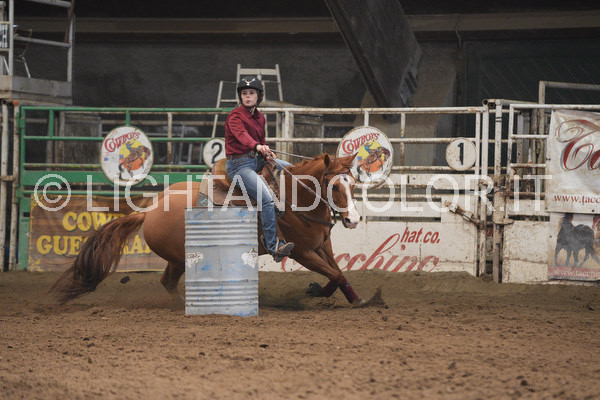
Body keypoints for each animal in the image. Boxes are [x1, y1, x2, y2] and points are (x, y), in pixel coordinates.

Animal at [49, 153, 365, 306]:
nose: (352, 220)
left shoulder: (322, 246)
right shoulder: (301, 252)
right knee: (173, 281)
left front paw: (346, 296)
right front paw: (317, 290)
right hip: (183, 256)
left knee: (167, 282)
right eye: (334, 186)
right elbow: (334, 273)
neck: (293, 199)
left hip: (176, 259)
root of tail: (150, 210)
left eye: (352, 183)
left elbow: (338, 273)